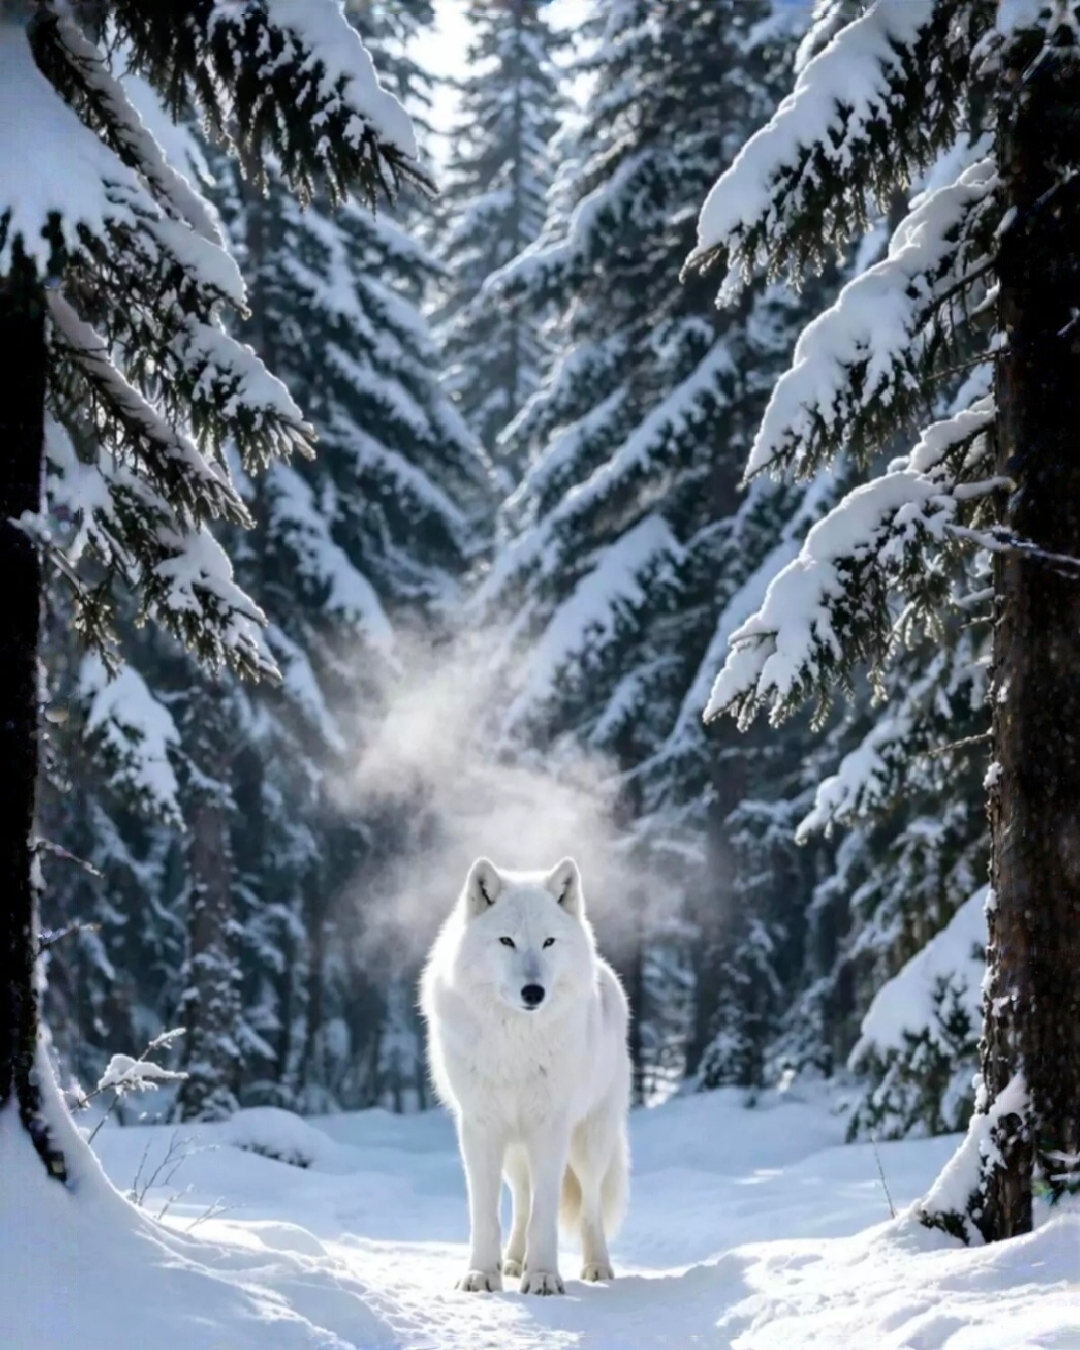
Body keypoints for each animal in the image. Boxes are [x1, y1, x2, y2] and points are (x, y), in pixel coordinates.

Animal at [419, 856, 631, 1296]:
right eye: (507, 941)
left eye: (549, 942)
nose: (534, 992)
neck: (515, 1041)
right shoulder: (479, 1128)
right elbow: (486, 1215)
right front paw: (482, 1274)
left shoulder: (550, 1127)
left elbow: (545, 1214)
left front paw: (544, 1276)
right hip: (514, 1152)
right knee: (520, 1201)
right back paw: (514, 1262)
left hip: (589, 1142)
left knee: (589, 1204)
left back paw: (596, 1266)